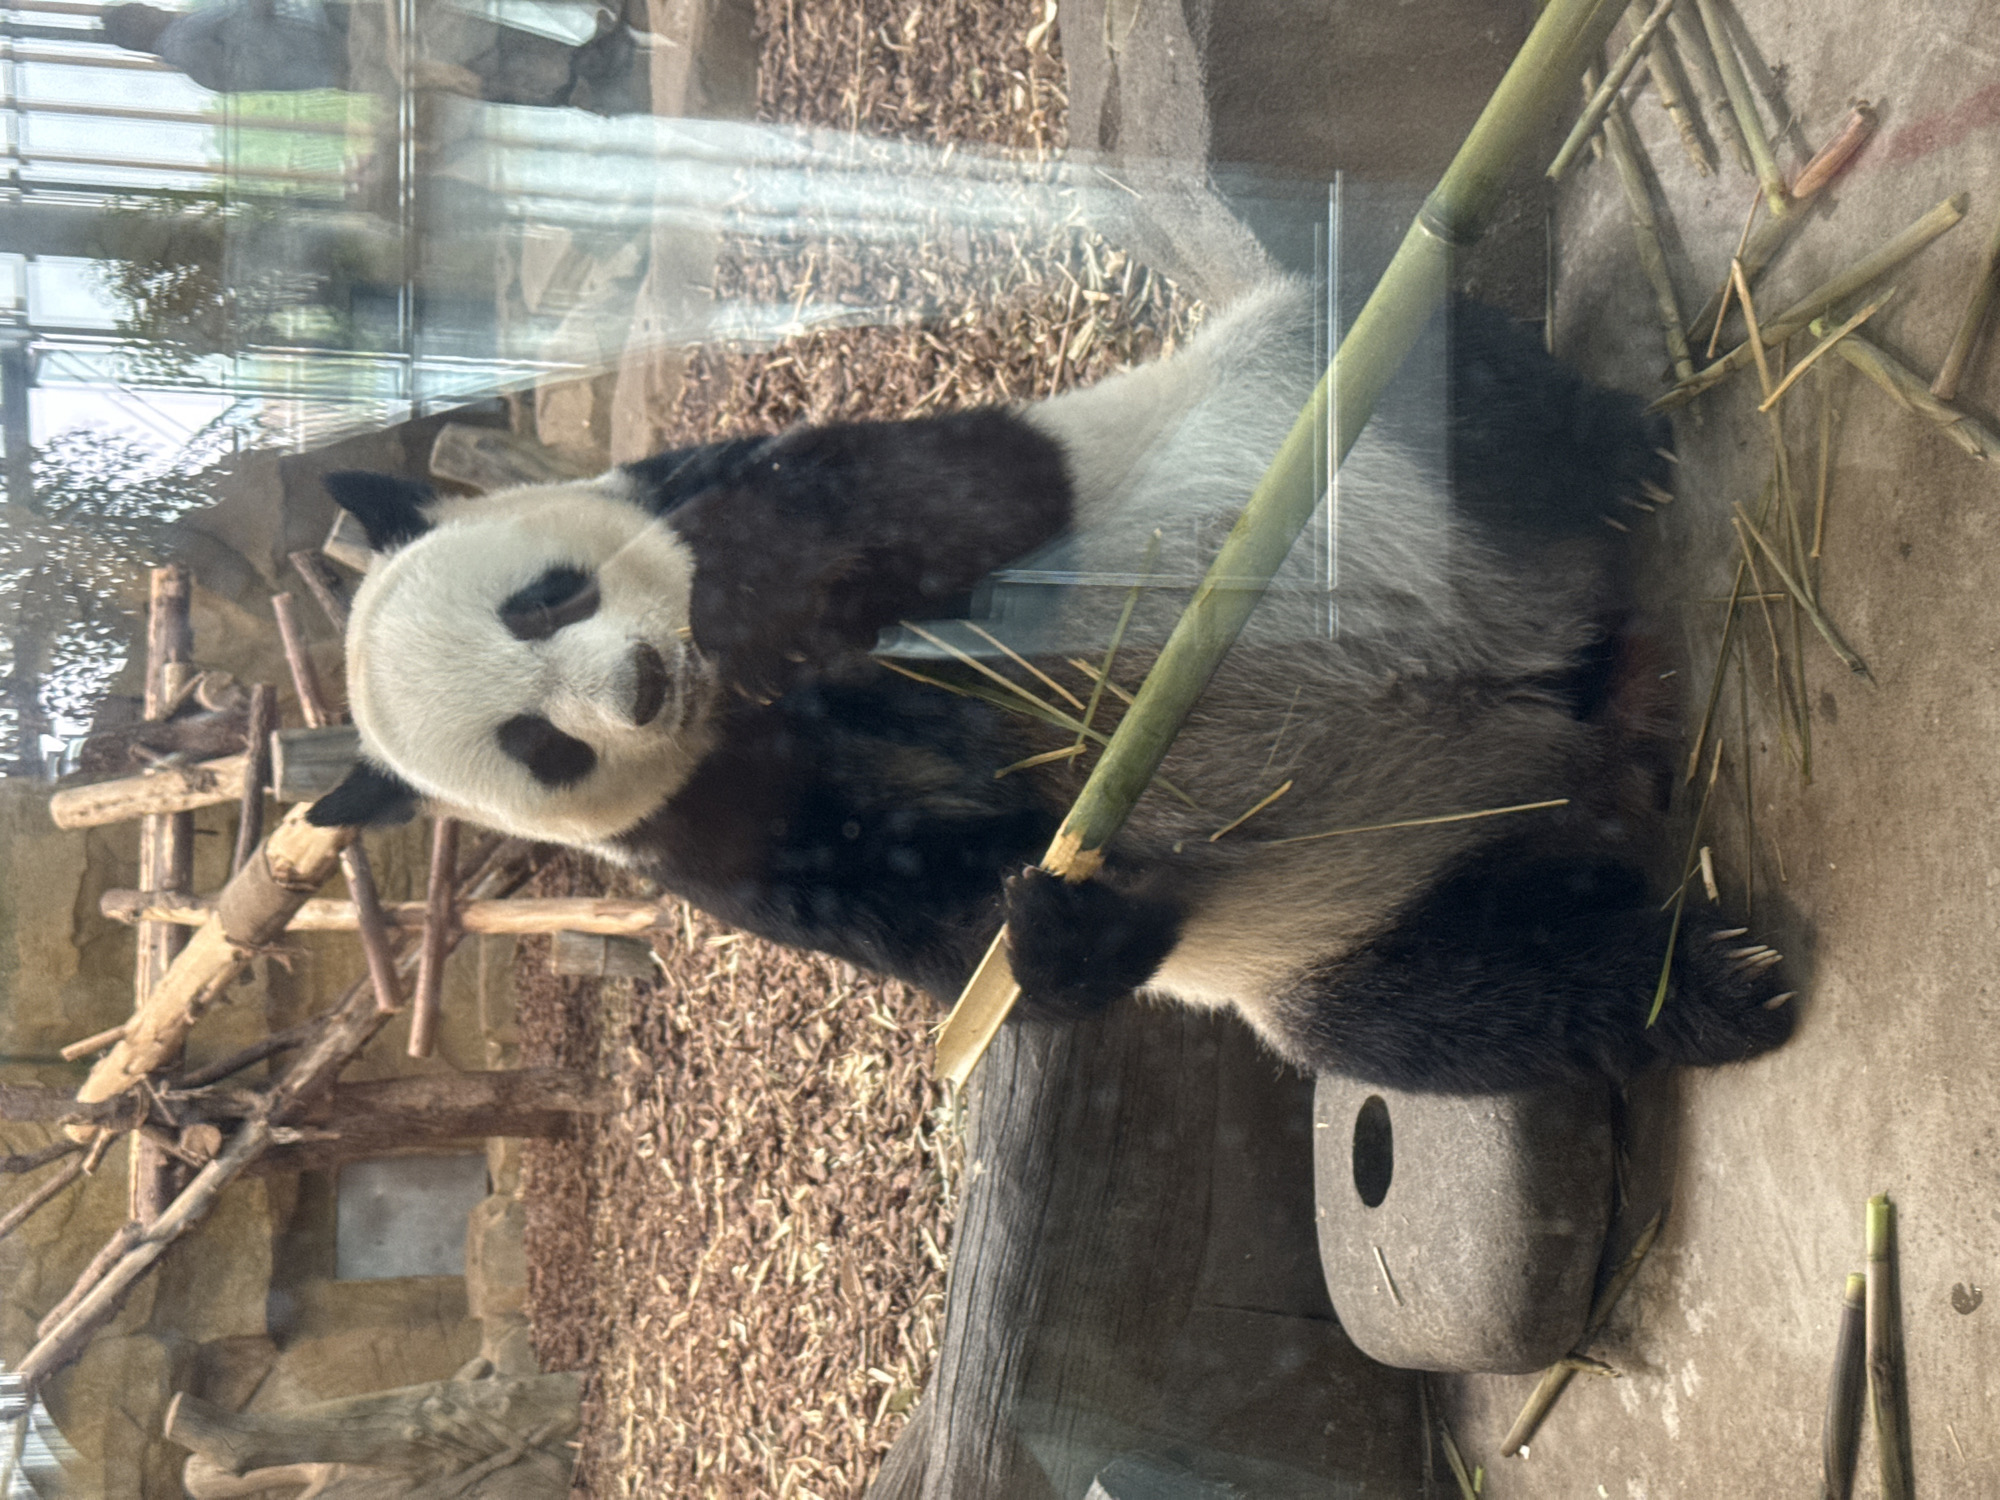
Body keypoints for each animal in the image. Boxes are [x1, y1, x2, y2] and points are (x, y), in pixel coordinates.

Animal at [308, 276, 1793, 1094]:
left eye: (544, 595)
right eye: (534, 744)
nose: (638, 685)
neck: (743, 703)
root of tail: (1554, 697)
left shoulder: (792, 483)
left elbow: (929, 499)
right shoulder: (711, 828)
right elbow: (938, 916)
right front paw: (1054, 919)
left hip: (1328, 426)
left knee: (1465, 403)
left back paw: (1618, 462)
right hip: (1358, 906)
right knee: (1467, 1003)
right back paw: (1708, 981)